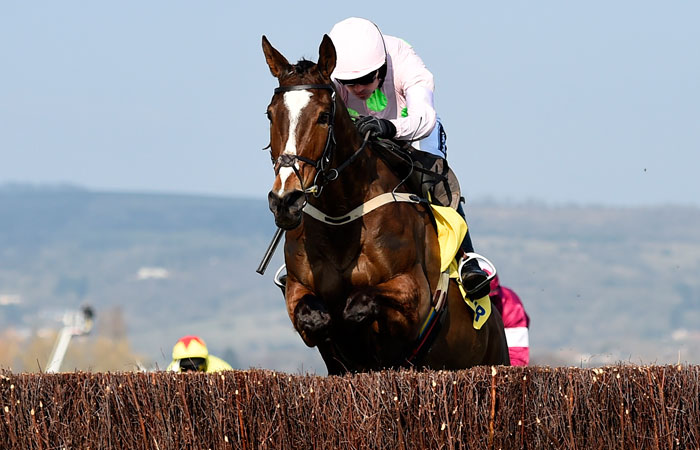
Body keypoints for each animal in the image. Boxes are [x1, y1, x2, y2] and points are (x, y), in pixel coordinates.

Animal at [262, 34, 508, 372]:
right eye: (270, 114)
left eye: (324, 116)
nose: (286, 200)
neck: (341, 220)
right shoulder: (298, 292)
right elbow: (314, 317)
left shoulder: (413, 295)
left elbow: (358, 305)